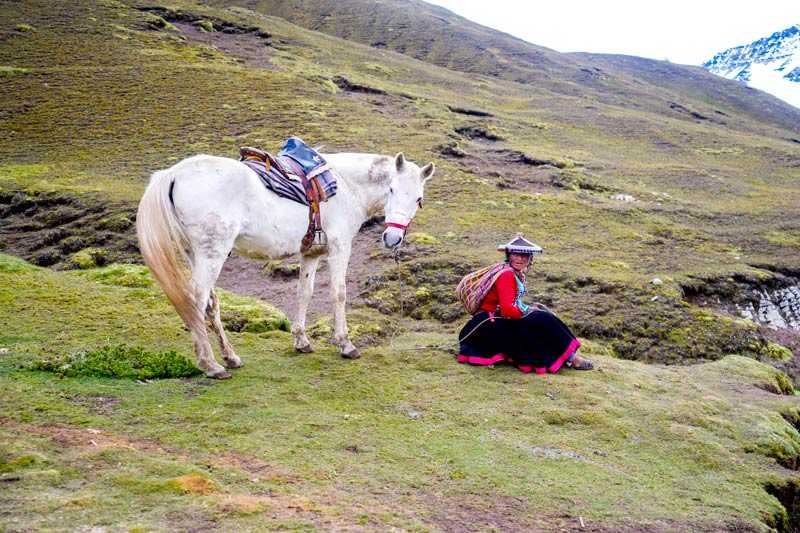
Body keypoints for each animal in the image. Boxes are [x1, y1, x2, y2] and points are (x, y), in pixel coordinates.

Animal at [136, 150, 435, 379]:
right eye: (392, 189)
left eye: (418, 199)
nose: (392, 238)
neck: (346, 186)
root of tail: (174, 173)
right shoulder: (340, 248)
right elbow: (338, 294)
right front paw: (346, 345)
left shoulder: (311, 253)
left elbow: (305, 292)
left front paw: (301, 341)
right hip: (212, 254)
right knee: (196, 301)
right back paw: (211, 365)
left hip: (195, 254)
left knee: (210, 303)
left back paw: (230, 357)